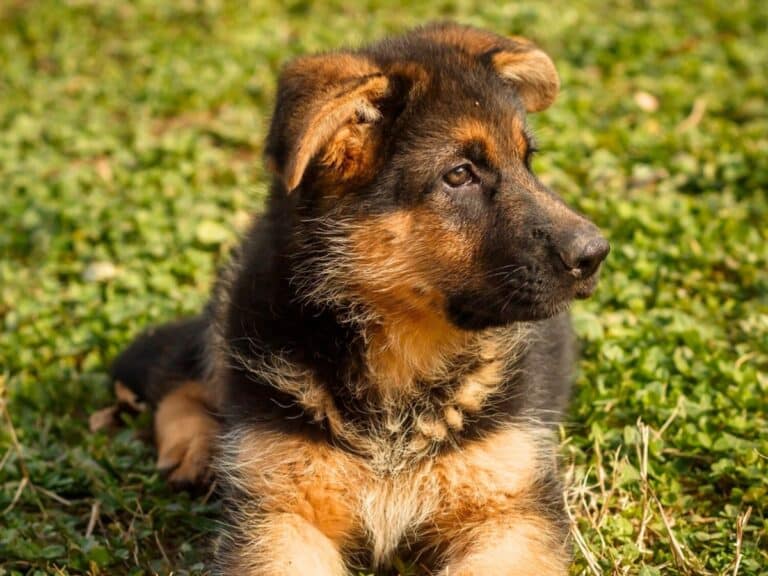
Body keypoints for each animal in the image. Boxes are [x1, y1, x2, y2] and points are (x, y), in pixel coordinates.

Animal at [112, 22, 608, 576]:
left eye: (527, 161)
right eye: (458, 174)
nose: (595, 253)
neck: (400, 359)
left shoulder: (511, 509)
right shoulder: (280, 514)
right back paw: (195, 445)